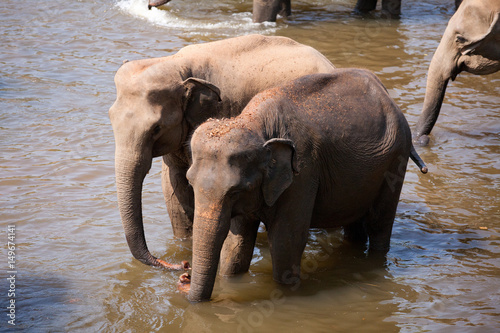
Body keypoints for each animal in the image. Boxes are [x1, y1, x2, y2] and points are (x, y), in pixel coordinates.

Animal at [109, 35, 336, 270]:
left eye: (156, 128)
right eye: (110, 118)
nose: (183, 265)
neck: (176, 64)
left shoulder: (222, 111)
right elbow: (174, 187)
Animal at [182, 69, 428, 300]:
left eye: (236, 191)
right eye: (190, 183)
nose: (186, 278)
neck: (253, 123)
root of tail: (386, 93)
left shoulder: (303, 173)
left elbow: (286, 241)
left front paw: (285, 291)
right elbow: (236, 244)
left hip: (396, 159)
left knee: (380, 223)